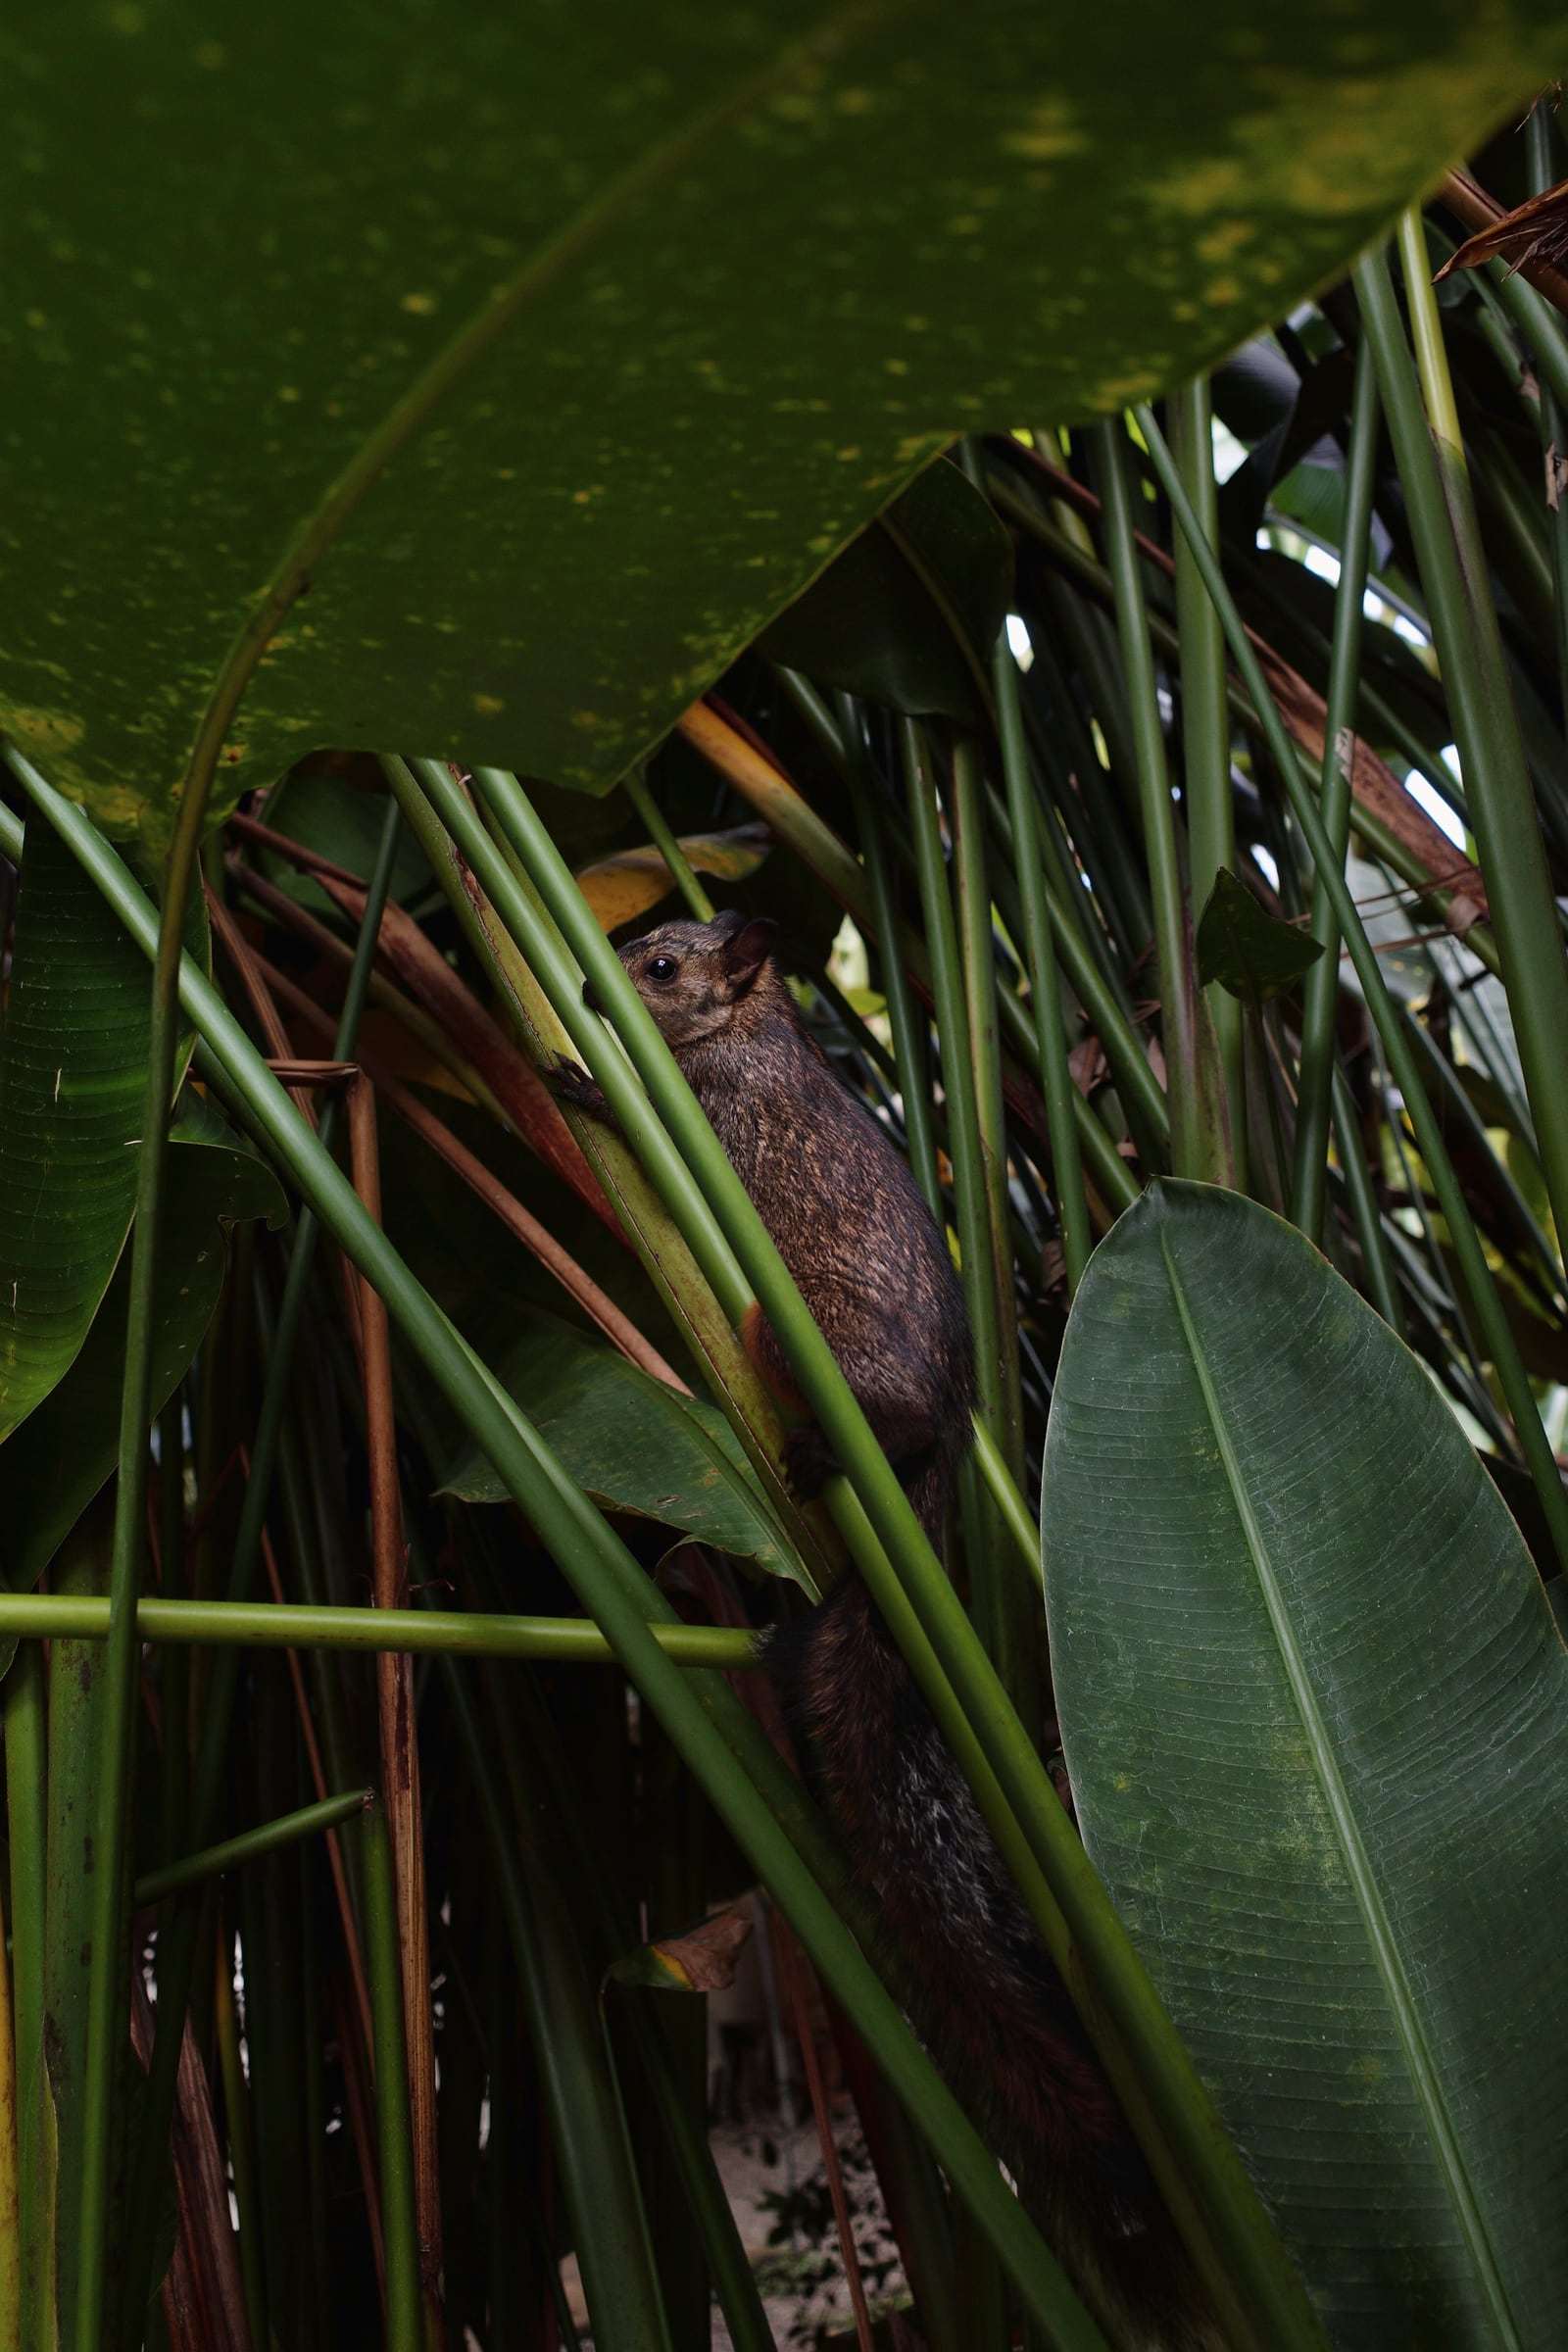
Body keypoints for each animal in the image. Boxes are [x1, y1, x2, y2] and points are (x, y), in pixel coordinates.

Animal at [554, 908, 1214, 2348]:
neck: (759, 1032)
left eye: (665, 967)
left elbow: (646, 1121)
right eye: (643, 939)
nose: (585, 978)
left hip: (804, 1337)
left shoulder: (716, 1116)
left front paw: (583, 1081)